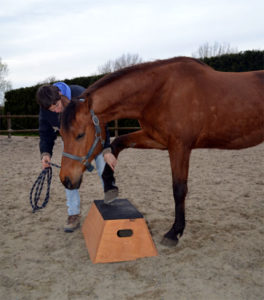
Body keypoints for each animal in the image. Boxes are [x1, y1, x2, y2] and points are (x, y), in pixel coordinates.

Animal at [59, 56, 264, 246]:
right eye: (60, 133)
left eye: (80, 135)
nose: (66, 180)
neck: (161, 92)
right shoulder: (156, 139)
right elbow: (118, 142)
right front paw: (110, 186)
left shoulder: (180, 147)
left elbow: (179, 189)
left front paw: (174, 232)